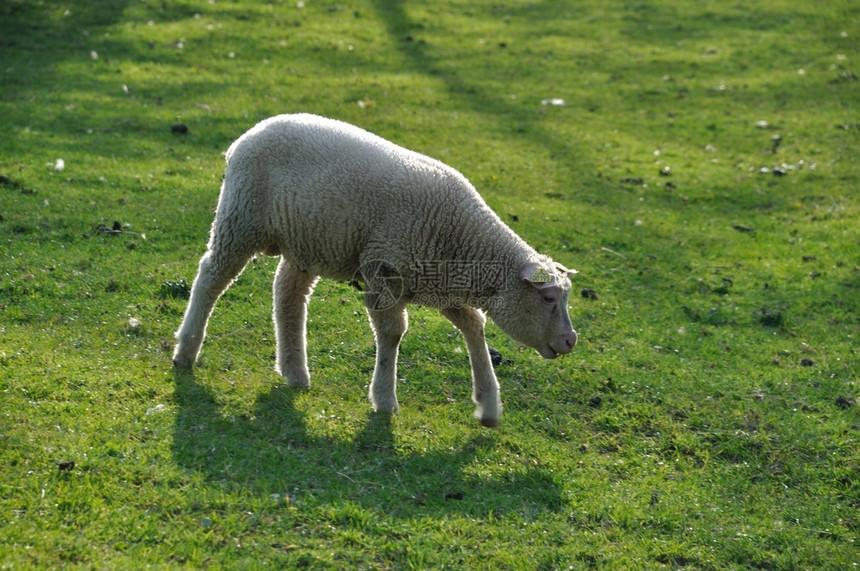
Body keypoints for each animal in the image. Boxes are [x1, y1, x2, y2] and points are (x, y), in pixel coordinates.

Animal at [173, 114, 576, 426]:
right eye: (548, 298)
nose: (571, 340)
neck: (464, 240)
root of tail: (249, 134)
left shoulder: (440, 282)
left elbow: (474, 327)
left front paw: (488, 405)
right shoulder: (384, 270)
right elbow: (393, 333)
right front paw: (384, 399)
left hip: (307, 240)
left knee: (287, 295)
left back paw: (294, 372)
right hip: (241, 219)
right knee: (212, 277)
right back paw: (185, 351)